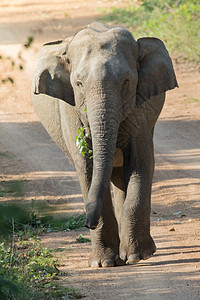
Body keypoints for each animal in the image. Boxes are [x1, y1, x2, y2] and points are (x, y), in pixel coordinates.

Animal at [31, 22, 178, 268]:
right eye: (79, 84)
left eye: (127, 82)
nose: (87, 223)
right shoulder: (71, 111)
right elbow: (87, 169)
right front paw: (104, 263)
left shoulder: (139, 110)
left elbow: (141, 164)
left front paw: (138, 256)